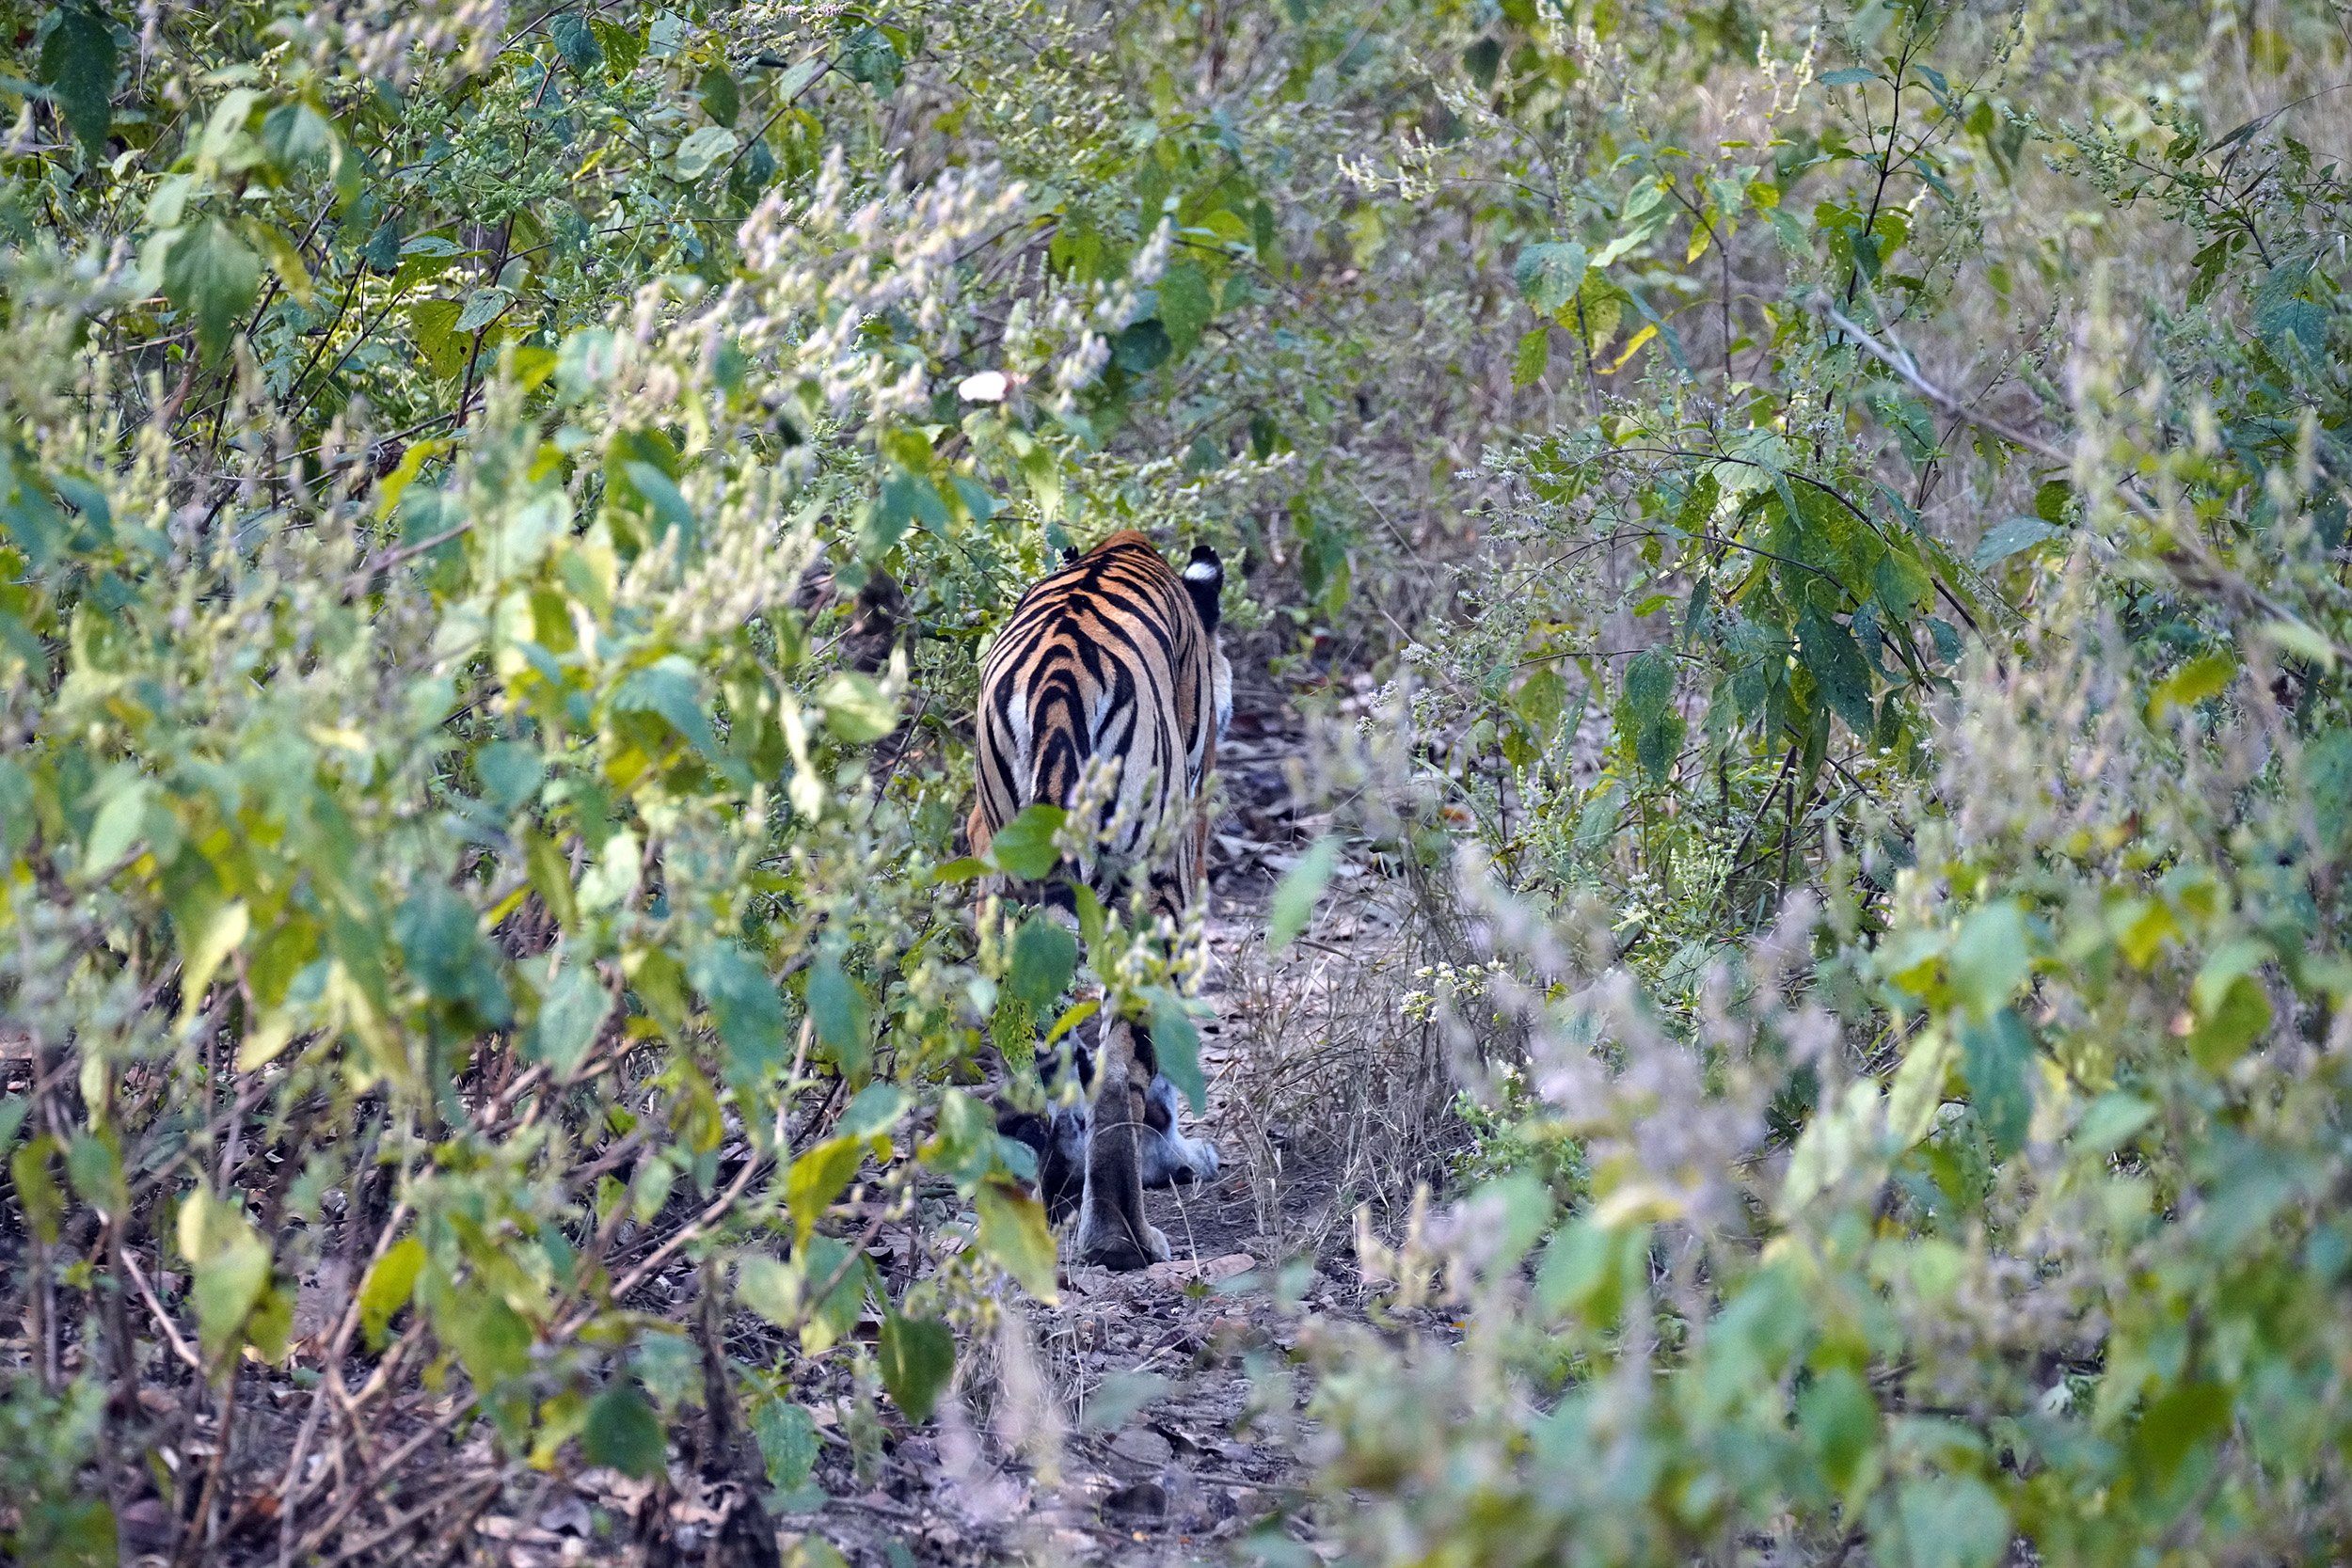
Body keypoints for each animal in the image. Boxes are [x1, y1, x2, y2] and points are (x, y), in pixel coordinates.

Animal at [969, 530, 1230, 1271]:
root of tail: (1059, 681)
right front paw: (1176, 1155)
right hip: (1149, 887)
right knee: (1120, 1068)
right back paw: (1121, 1236)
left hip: (1012, 884)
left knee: (1043, 1045)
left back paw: (1058, 1191)